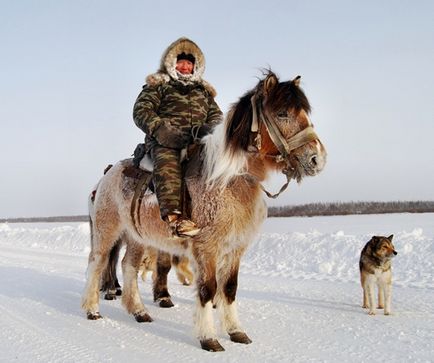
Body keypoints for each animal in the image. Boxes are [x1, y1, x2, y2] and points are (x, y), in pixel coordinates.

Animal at [81, 71, 326, 352]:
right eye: (283, 113)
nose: (317, 159)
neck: (227, 179)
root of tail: (107, 174)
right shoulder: (206, 247)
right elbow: (208, 289)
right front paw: (209, 337)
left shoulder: (235, 248)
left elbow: (229, 288)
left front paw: (236, 331)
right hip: (107, 229)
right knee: (97, 262)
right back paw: (92, 310)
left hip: (136, 237)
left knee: (128, 266)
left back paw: (139, 312)